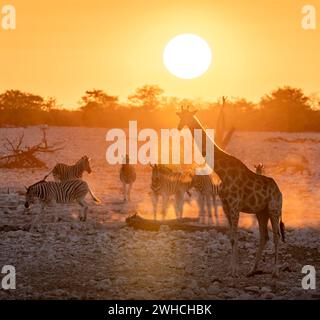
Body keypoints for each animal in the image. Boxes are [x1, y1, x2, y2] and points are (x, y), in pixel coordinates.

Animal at [178, 107, 284, 278]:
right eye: (179, 116)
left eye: (188, 116)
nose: (179, 127)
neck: (221, 171)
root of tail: (279, 191)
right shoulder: (226, 206)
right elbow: (231, 237)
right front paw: (232, 268)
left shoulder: (234, 205)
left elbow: (235, 236)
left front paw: (234, 270)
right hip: (261, 212)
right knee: (264, 237)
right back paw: (252, 270)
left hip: (274, 209)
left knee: (276, 236)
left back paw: (275, 271)